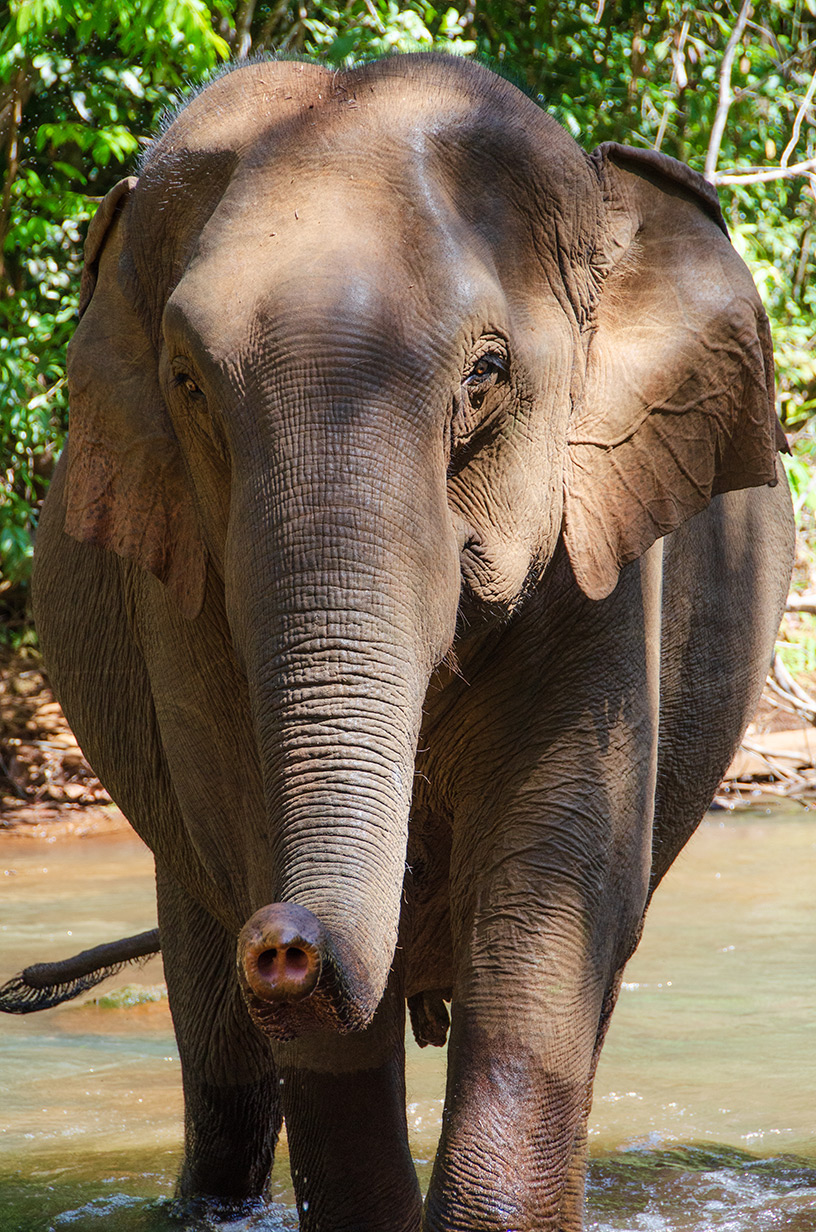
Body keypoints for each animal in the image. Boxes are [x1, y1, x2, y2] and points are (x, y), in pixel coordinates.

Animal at [30, 50, 793, 1232]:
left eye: (484, 376)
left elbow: (554, 885)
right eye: (187, 382)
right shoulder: (179, 588)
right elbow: (242, 829)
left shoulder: (600, 559)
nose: (284, 941)